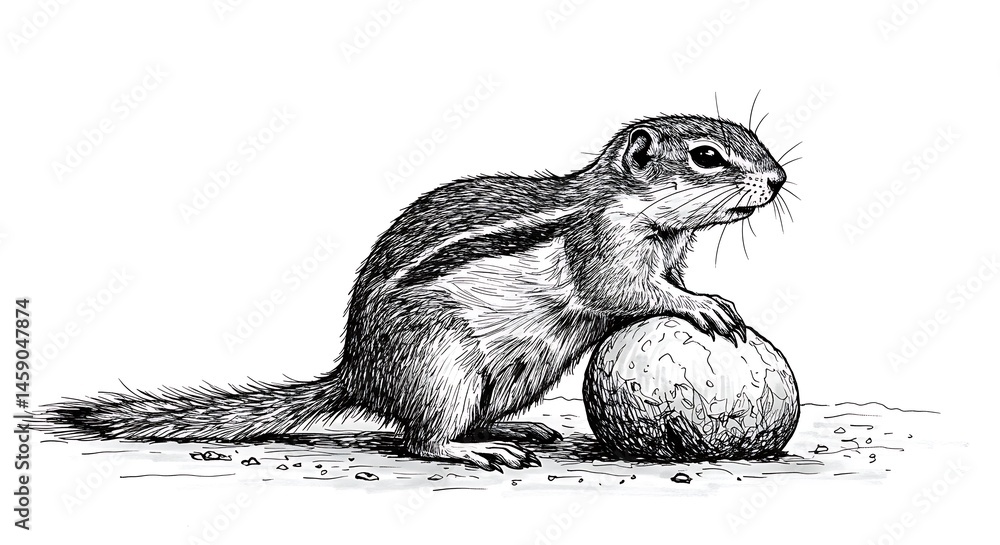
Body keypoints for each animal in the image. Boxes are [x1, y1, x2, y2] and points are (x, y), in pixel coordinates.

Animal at [42, 114, 788, 471]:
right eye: (706, 156)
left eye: (752, 137)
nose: (778, 179)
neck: (639, 212)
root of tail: (358, 372)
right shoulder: (601, 245)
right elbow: (628, 290)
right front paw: (703, 304)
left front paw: (706, 296)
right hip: (441, 362)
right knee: (422, 439)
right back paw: (475, 449)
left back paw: (513, 427)